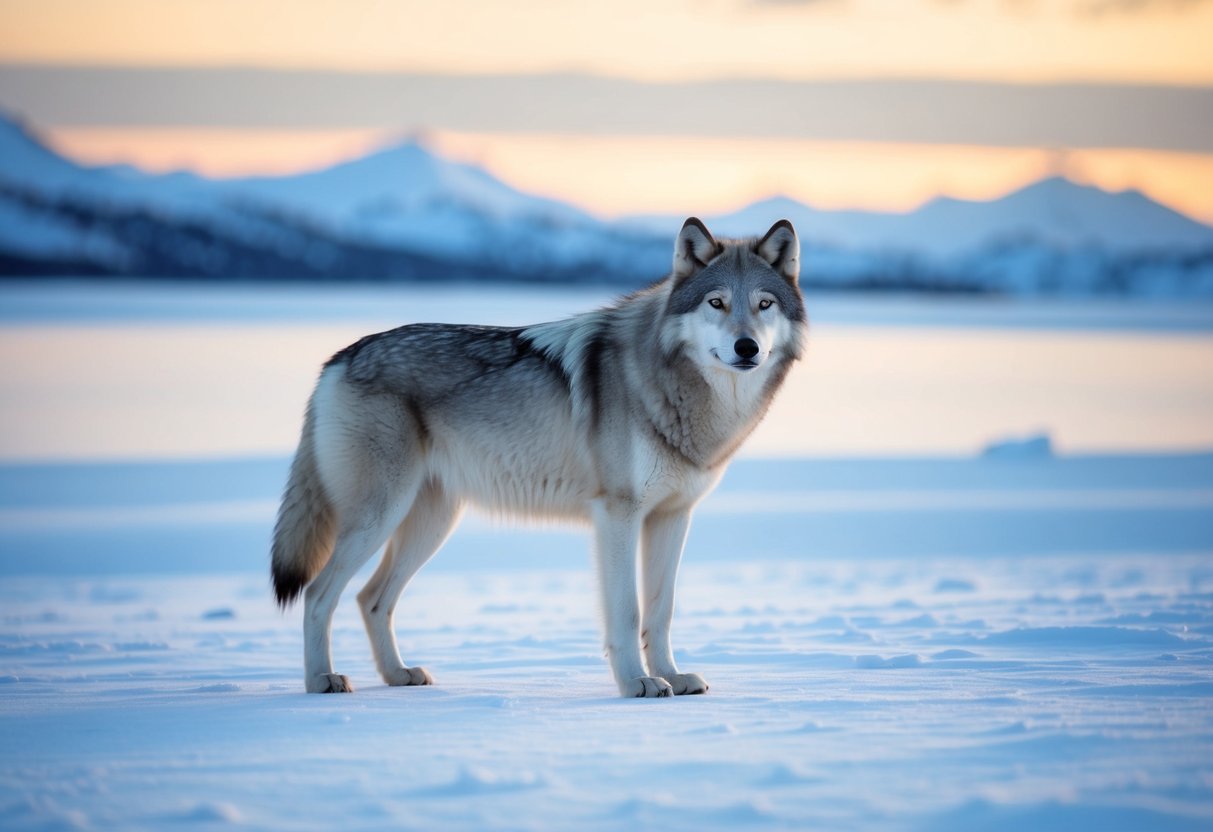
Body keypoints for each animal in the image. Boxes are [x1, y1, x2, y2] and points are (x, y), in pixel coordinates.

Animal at [271, 217, 807, 697]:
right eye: (717, 303)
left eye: (764, 304)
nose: (747, 347)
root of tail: (338, 358)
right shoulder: (618, 516)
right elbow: (628, 611)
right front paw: (637, 684)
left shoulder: (673, 517)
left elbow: (661, 609)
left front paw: (672, 677)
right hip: (380, 516)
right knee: (318, 594)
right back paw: (321, 681)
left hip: (431, 522)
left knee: (370, 598)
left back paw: (398, 675)